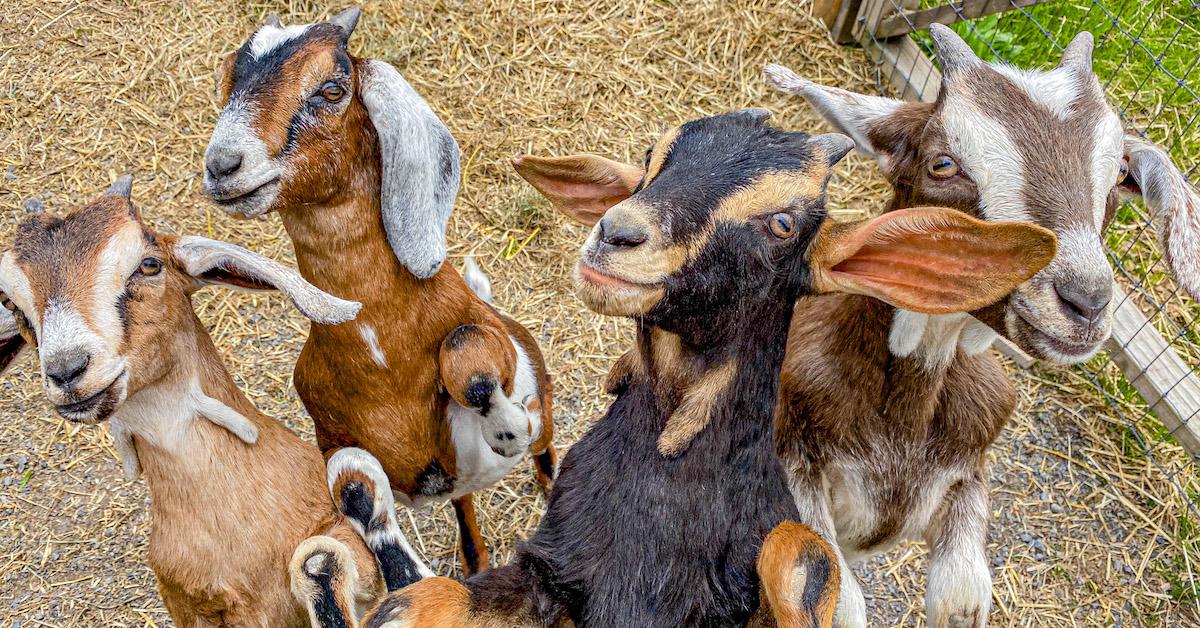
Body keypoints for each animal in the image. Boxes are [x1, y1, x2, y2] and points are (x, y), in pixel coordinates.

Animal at [202, 7, 556, 578]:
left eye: (333, 87)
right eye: (228, 78)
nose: (222, 165)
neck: (381, 354)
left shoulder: (494, 340)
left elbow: (467, 347)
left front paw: (506, 429)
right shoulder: (330, 435)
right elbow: (350, 479)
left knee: (545, 437)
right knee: (464, 507)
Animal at [288, 110, 1051, 624]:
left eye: (782, 223)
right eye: (654, 155)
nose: (617, 233)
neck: (666, 478)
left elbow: (801, 551)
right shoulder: (554, 572)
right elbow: (427, 598)